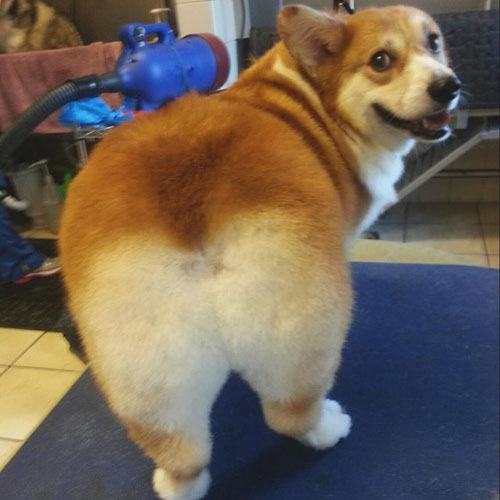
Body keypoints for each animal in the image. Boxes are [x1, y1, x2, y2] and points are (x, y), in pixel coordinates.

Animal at [59, 5, 460, 500]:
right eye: (381, 61)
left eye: (434, 42)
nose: (448, 86)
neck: (311, 101)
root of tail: (189, 215)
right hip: (306, 329)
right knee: (288, 414)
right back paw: (327, 428)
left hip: (143, 369)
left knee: (183, 455)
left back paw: (176, 482)